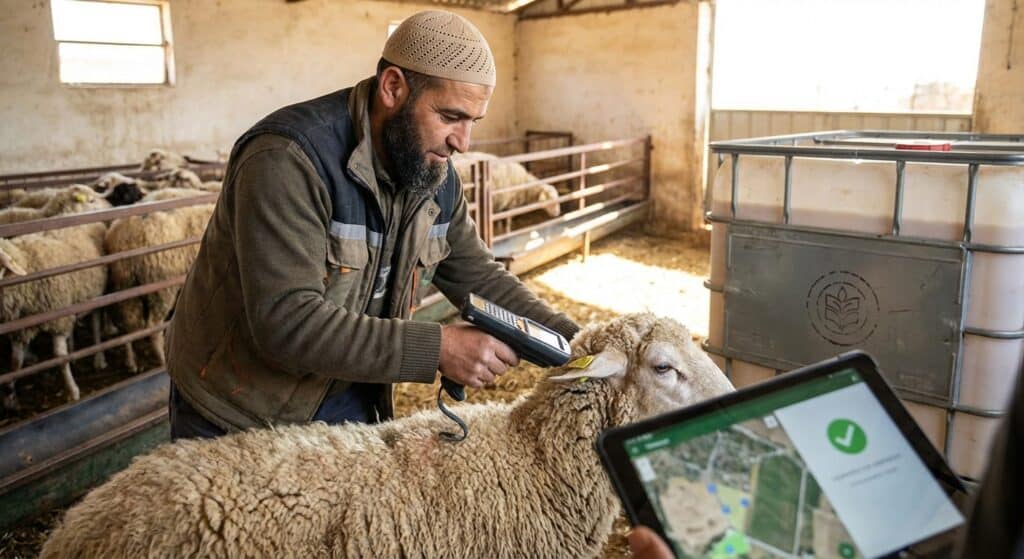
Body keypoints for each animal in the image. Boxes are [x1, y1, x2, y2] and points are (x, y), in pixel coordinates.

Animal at [0, 185, 112, 410]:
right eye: (91, 200)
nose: (110, 207)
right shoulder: (18, 328)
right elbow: (15, 363)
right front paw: (9, 398)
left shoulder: (58, 317)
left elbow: (59, 358)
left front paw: (72, 391)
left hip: (96, 293)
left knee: (96, 322)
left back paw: (98, 358)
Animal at [104, 188, 215, 371]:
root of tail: (129, 238)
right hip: (160, 287)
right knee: (153, 327)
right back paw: (162, 360)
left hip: (125, 285)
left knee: (129, 324)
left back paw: (132, 362)